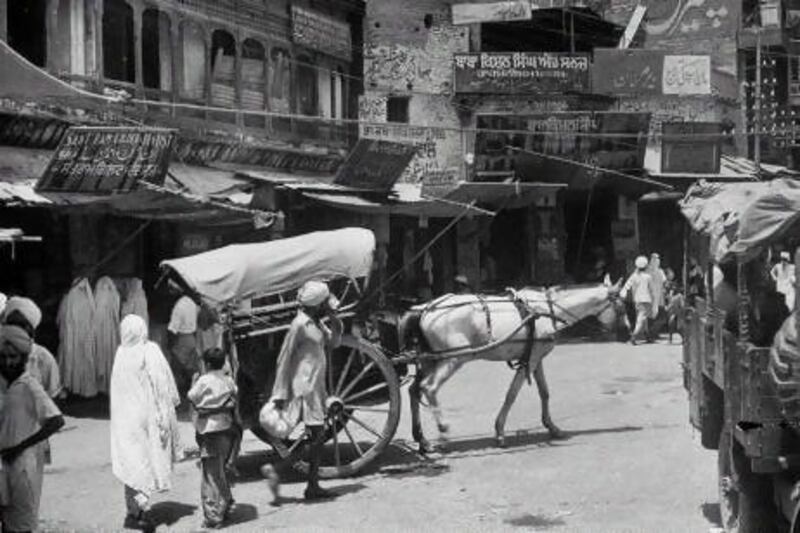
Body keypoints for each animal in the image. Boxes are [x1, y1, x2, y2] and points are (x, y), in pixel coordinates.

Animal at [400, 278, 624, 454]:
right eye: (621, 306)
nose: (623, 333)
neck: (546, 309)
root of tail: (426, 309)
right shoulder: (529, 360)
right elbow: (512, 395)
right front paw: (499, 432)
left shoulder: (536, 358)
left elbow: (544, 392)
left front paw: (551, 426)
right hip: (452, 360)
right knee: (429, 388)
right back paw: (444, 432)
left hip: (429, 360)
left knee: (414, 390)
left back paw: (422, 440)